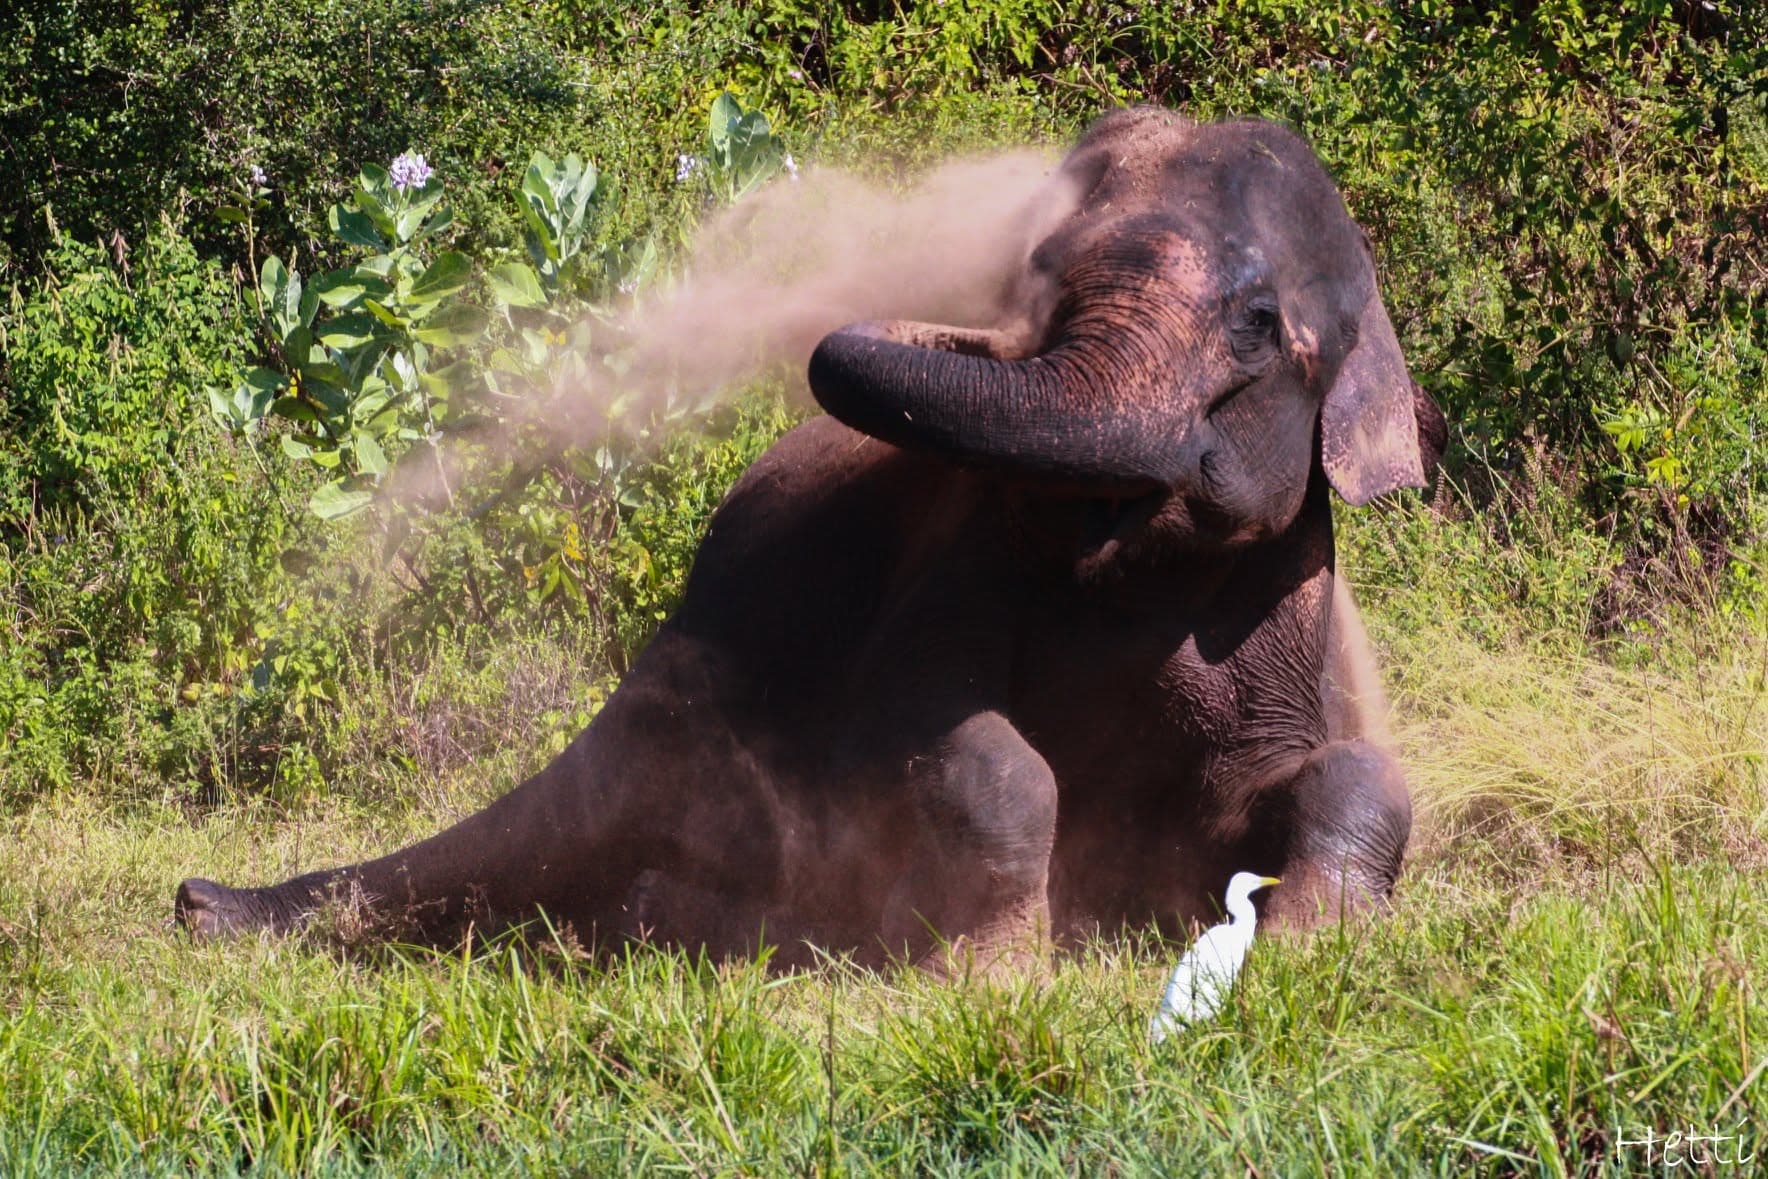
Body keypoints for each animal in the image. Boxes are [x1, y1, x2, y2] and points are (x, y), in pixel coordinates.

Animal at [176, 107, 1448, 965]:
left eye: (1257, 324)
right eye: (1036, 274)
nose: (188, 899)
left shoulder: (1285, 606)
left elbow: (1337, 774)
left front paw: (1300, 956)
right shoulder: (949, 567)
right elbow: (948, 748)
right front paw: (996, 978)